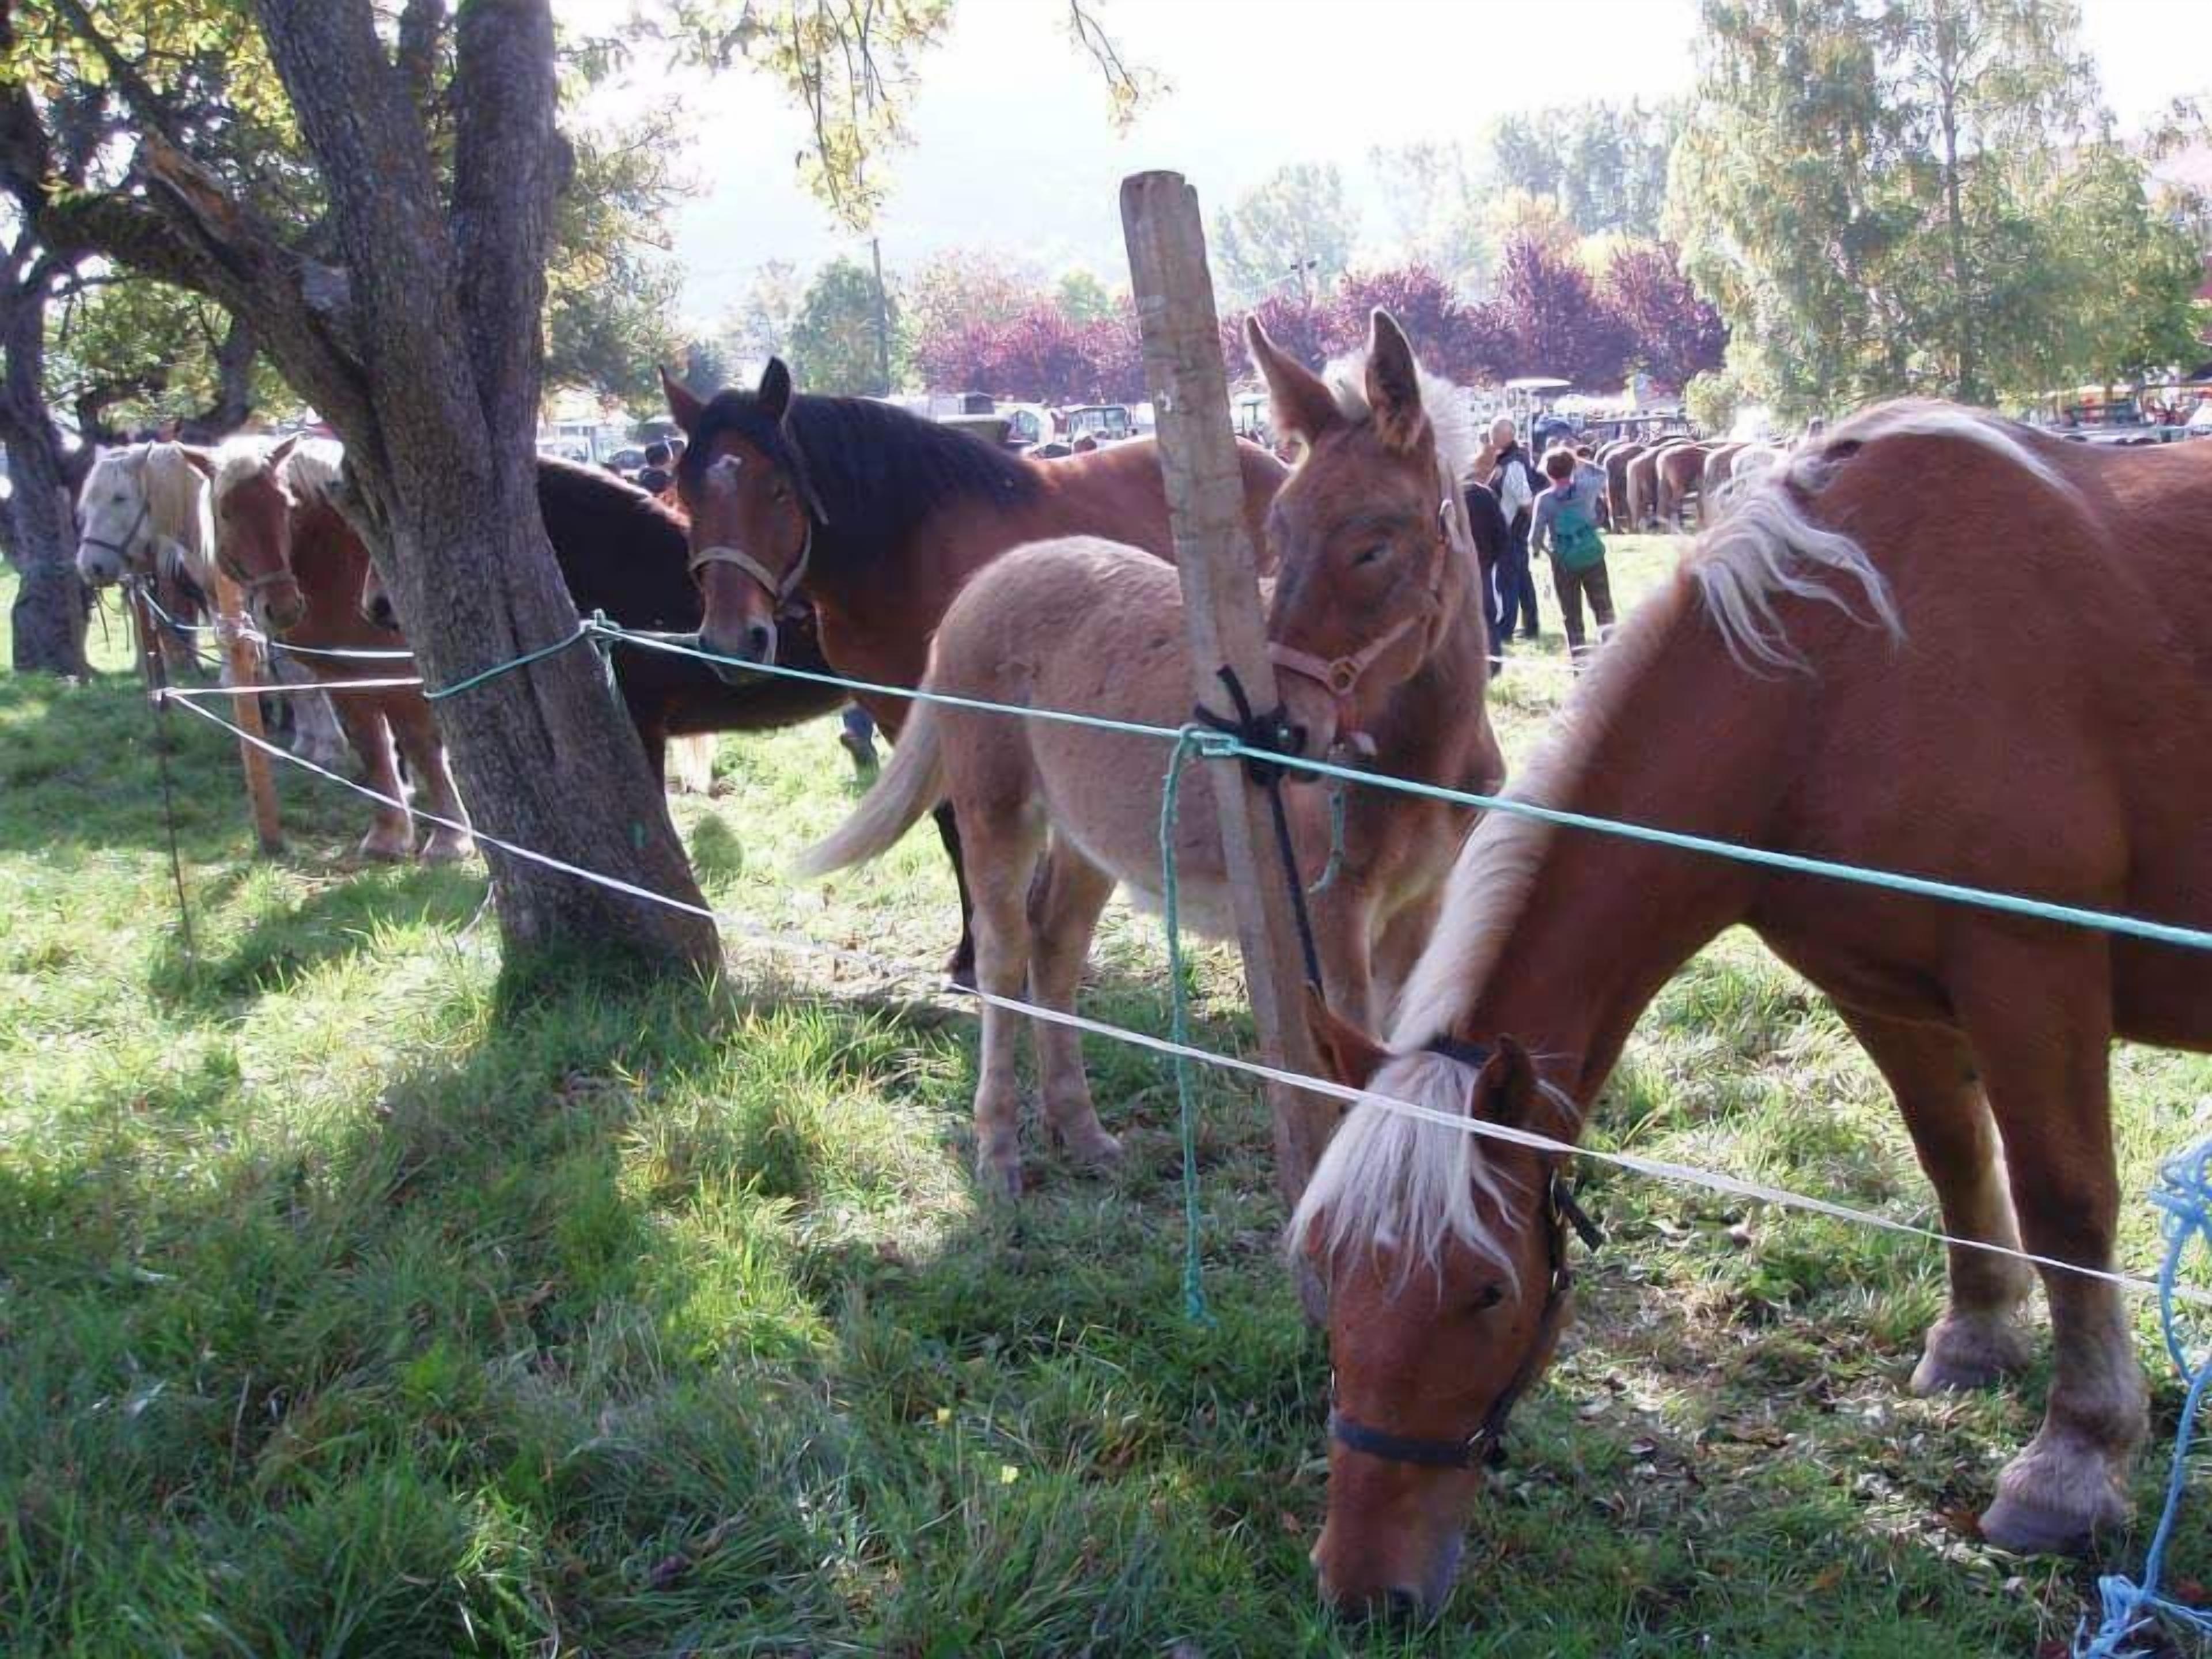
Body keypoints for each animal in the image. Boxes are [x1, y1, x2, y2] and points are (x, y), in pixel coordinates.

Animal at [75, 442, 349, 771]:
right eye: (88, 502)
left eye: (119, 498)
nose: (89, 566)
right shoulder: (264, 614)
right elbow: (285, 672)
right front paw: (307, 739)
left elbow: (300, 672)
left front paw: (328, 747)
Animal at [660, 358, 1290, 981]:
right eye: (685, 495)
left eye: (779, 490)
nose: (732, 643)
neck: (903, 552)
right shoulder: (903, 718)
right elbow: (950, 831)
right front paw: (969, 949)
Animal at [799, 310, 1502, 1197]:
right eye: (1276, 532)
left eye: (1375, 546)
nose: (1278, 730)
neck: (1417, 759)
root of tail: (991, 577)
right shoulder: (1329, 920)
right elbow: (1344, 1079)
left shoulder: (1421, 907)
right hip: (997, 810)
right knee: (1002, 959)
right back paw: (1000, 1152)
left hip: (1090, 837)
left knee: (1055, 948)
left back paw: (1082, 1133)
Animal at [1286, 401, 2212, 1616]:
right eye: (1330, 1269)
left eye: (1487, 1294)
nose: (1361, 1589)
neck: (1852, 664)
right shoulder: (1882, 992)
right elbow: (1954, 1162)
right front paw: (1976, 1339)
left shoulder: (2030, 971)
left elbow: (2067, 1208)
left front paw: (2075, 1460)